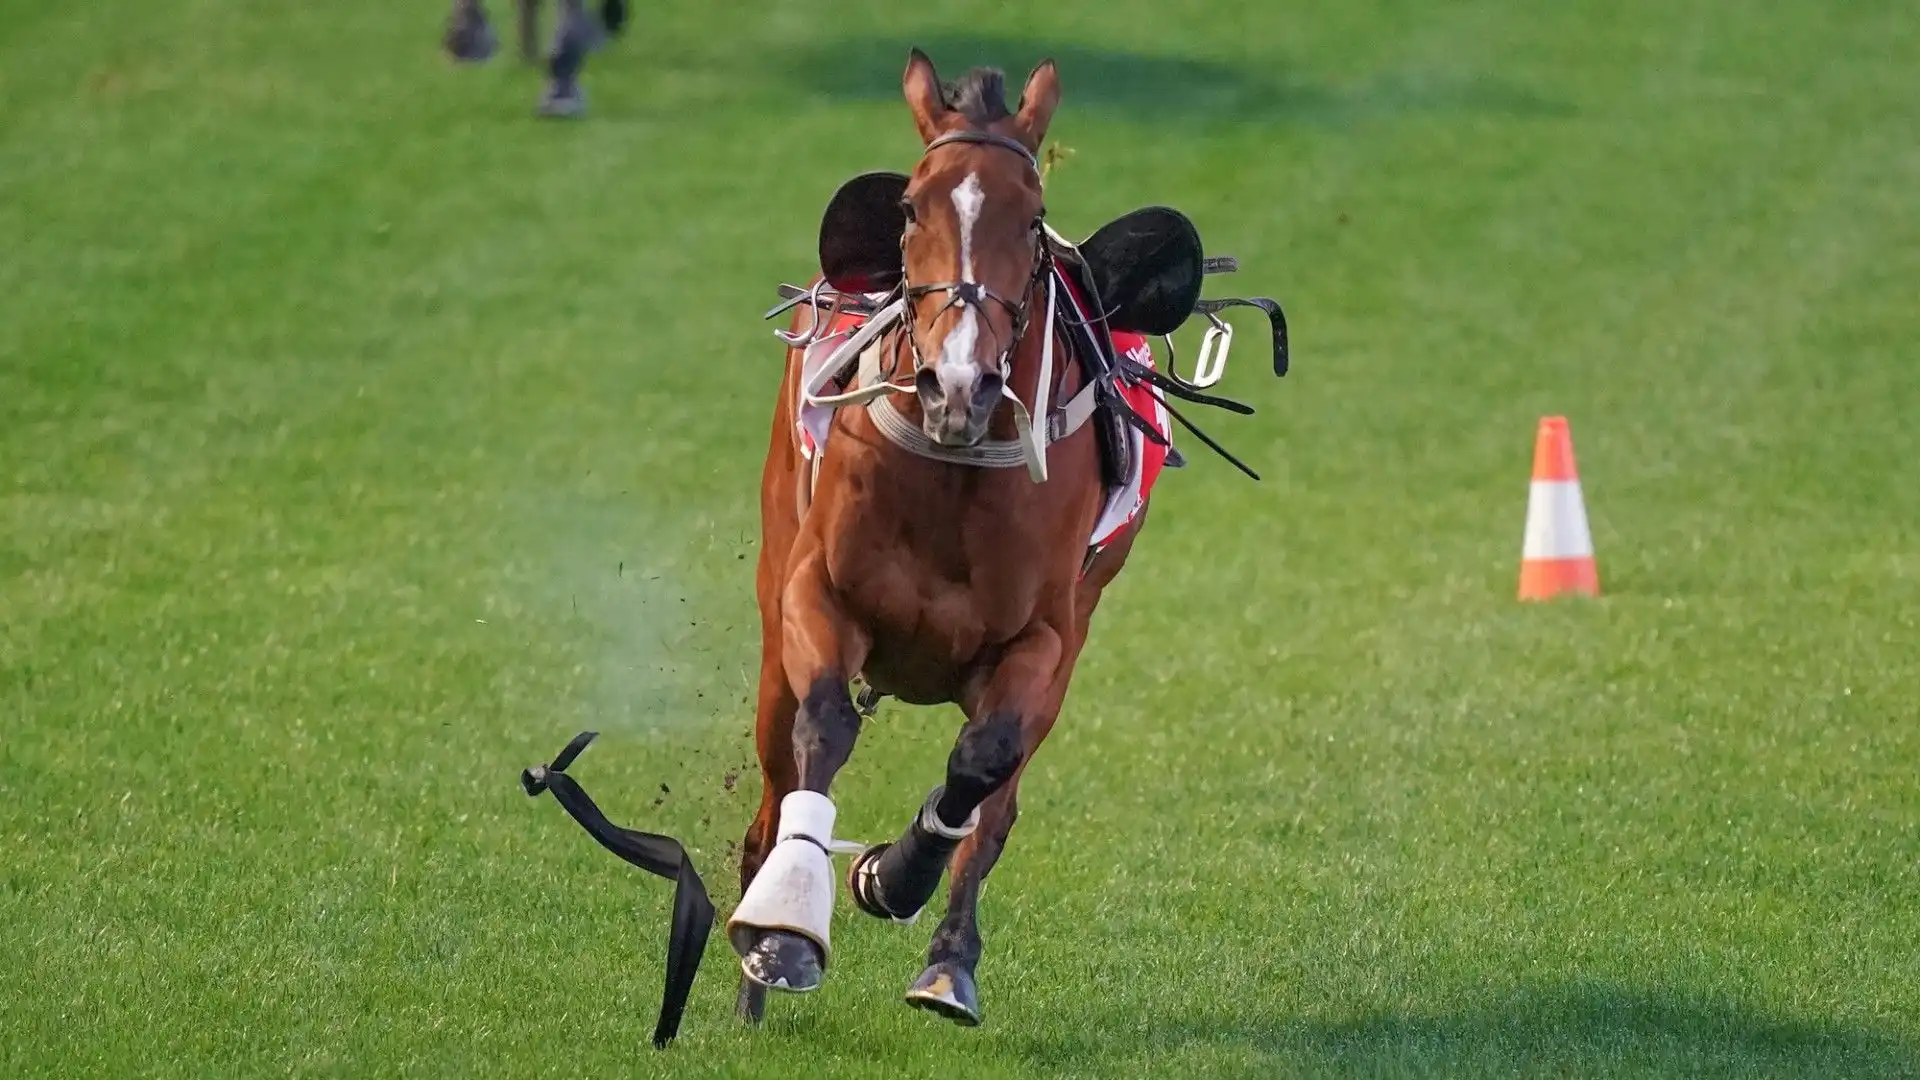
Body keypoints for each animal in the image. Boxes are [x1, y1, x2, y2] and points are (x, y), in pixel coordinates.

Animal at [725, 48, 1297, 1022]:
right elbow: (823, 726)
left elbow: (983, 765)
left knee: (995, 794)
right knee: (771, 790)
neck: (954, 464)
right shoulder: (814, 594)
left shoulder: (1046, 637)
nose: (958, 381)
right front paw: (784, 930)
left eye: (1030, 219)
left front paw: (896, 876)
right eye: (911, 206)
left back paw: (947, 957)